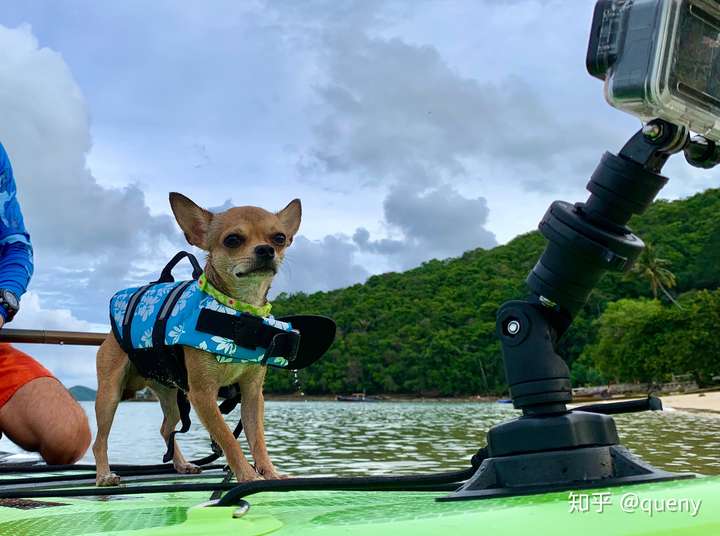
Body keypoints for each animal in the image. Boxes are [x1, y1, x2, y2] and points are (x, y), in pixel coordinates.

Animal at [93, 193, 300, 486]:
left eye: (279, 238)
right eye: (232, 240)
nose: (266, 250)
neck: (240, 312)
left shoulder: (252, 394)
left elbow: (257, 438)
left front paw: (269, 472)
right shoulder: (203, 395)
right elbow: (228, 439)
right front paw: (248, 475)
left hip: (171, 394)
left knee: (166, 428)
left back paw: (181, 464)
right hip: (110, 394)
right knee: (100, 439)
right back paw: (104, 474)